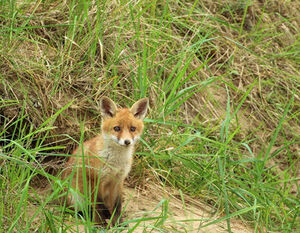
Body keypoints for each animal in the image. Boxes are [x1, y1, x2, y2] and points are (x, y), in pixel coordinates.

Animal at [61, 96, 149, 226]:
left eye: (132, 129)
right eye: (117, 128)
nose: (127, 141)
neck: (115, 163)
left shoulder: (118, 180)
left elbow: (117, 206)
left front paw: (118, 223)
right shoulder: (94, 179)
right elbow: (98, 205)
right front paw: (100, 224)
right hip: (75, 198)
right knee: (80, 210)